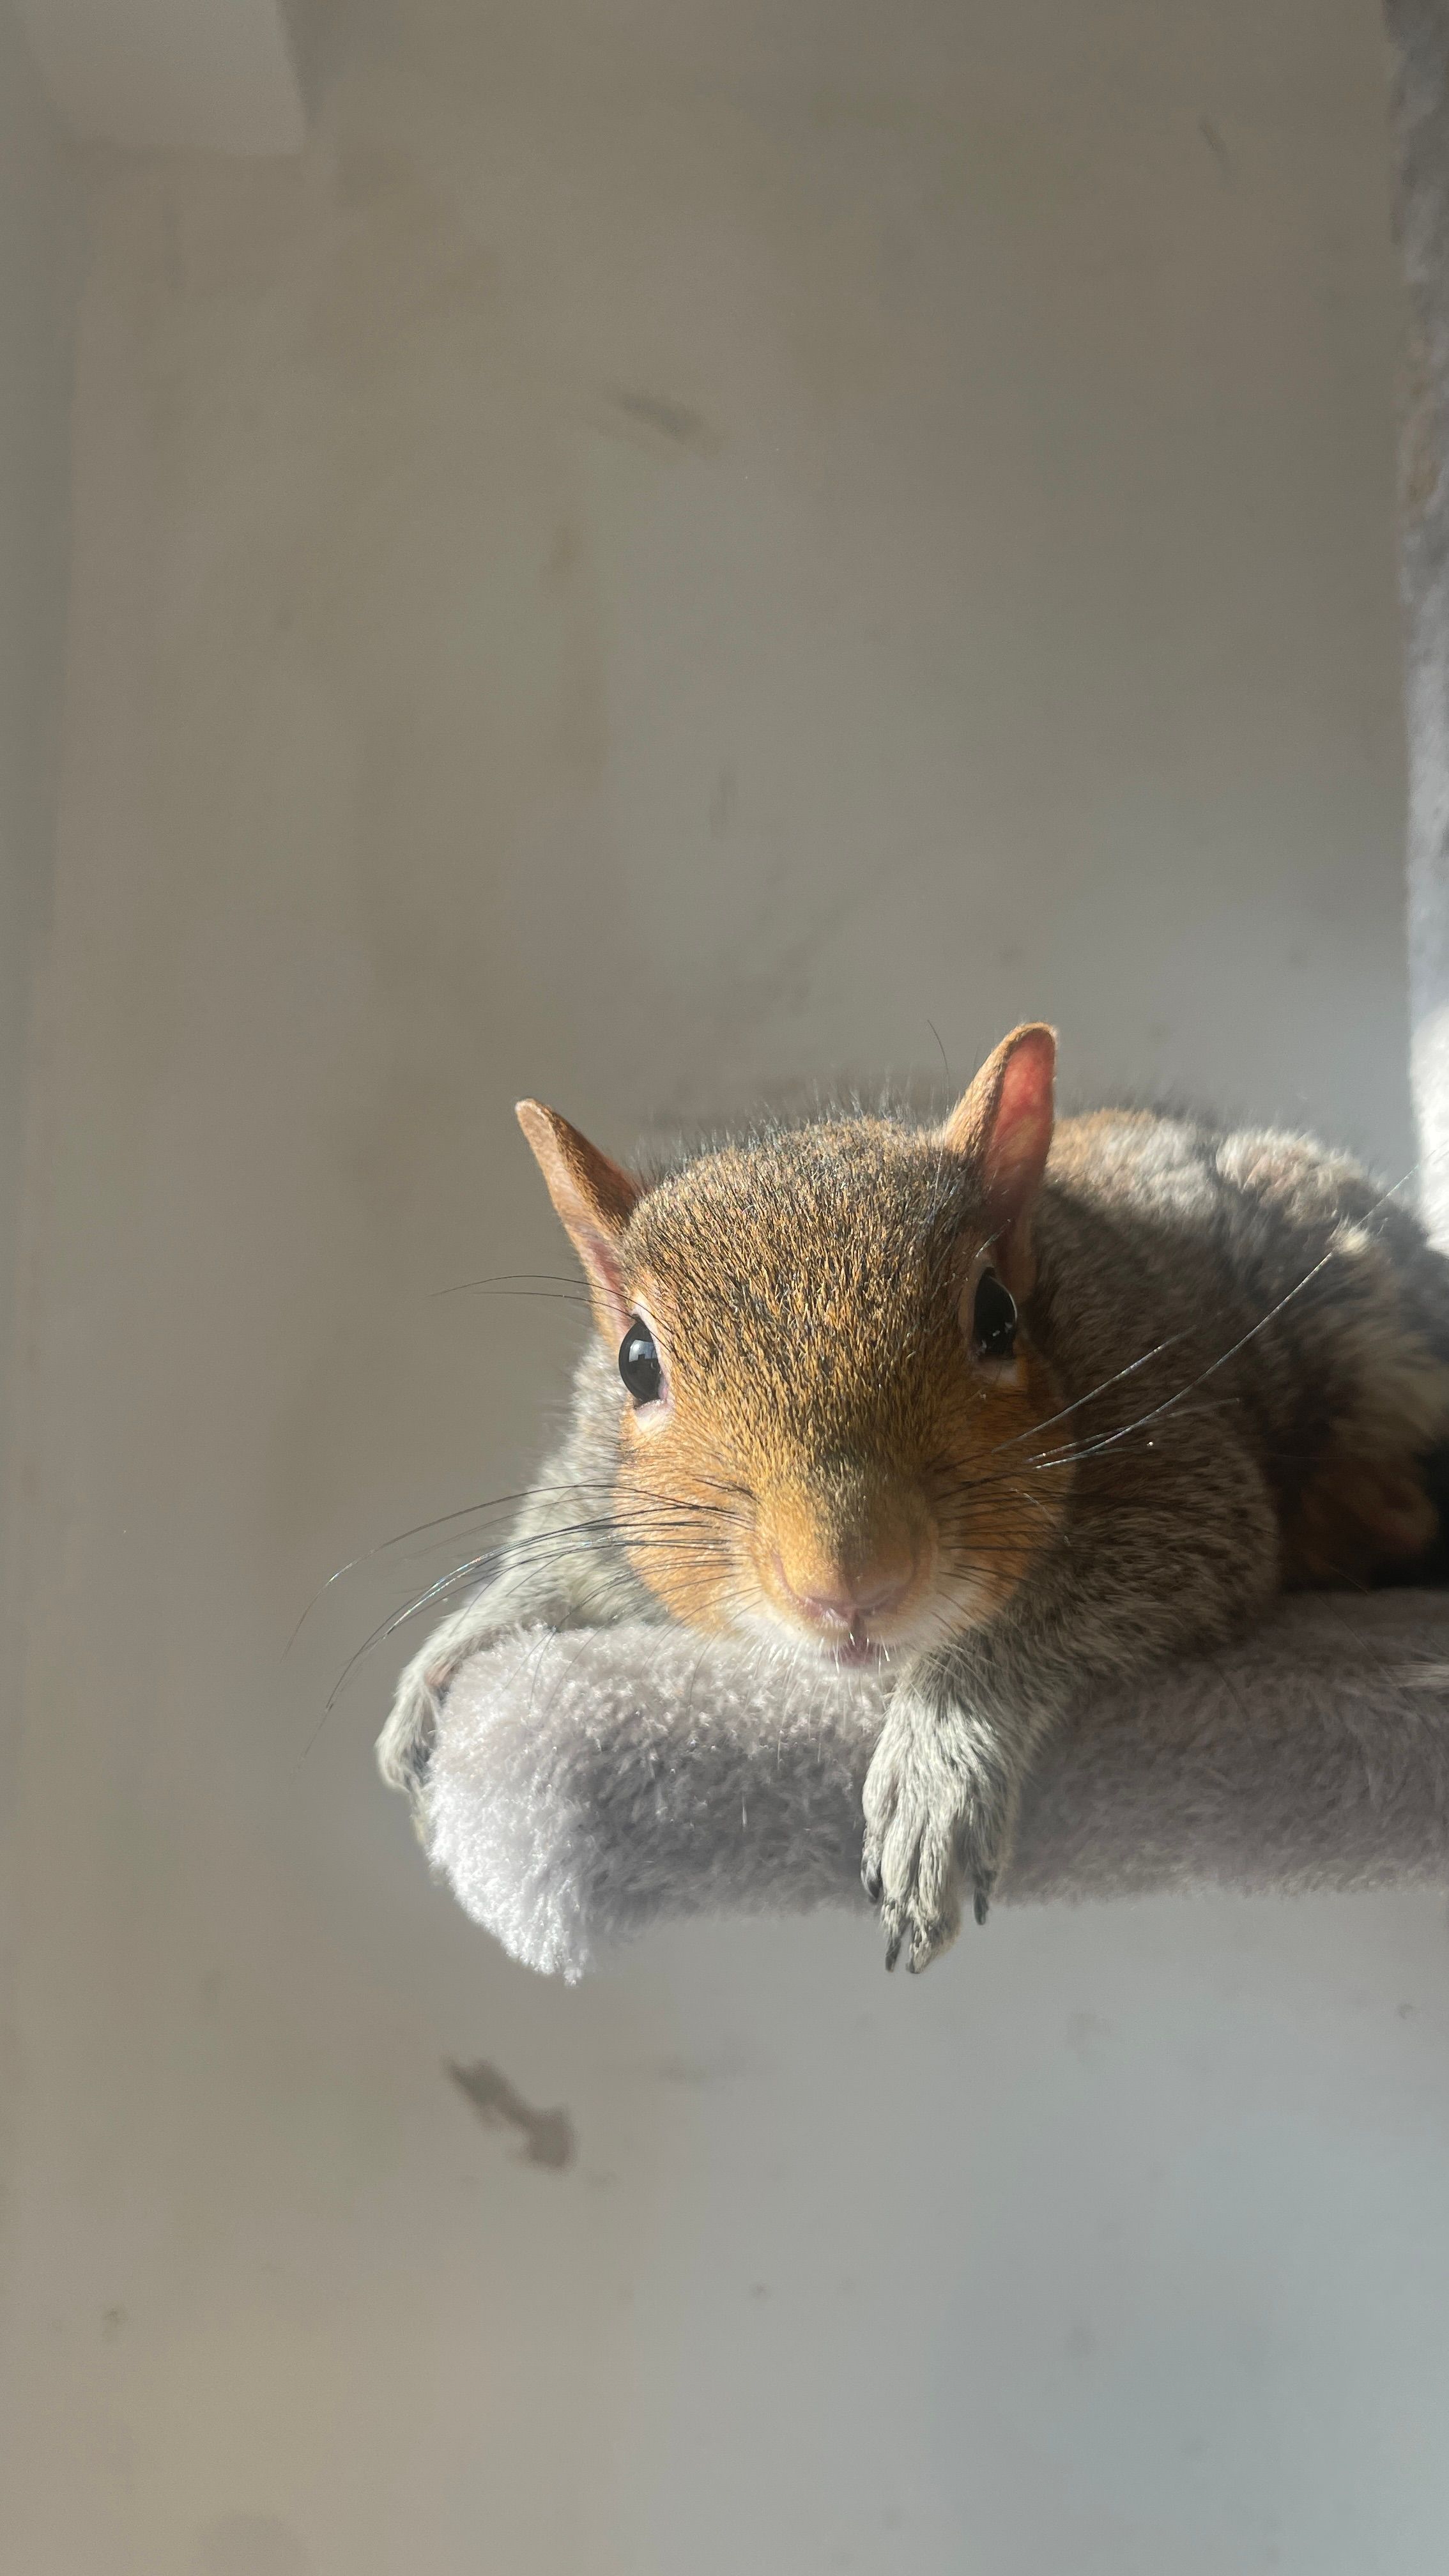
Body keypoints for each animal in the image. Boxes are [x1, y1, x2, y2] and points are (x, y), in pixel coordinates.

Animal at [377, 1024, 1449, 1972]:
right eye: (636, 1363)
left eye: (998, 1316)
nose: (851, 1582)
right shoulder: (596, 1475)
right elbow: (560, 1536)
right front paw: (456, 1650)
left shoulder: (1184, 1467)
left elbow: (1080, 1595)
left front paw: (939, 1760)